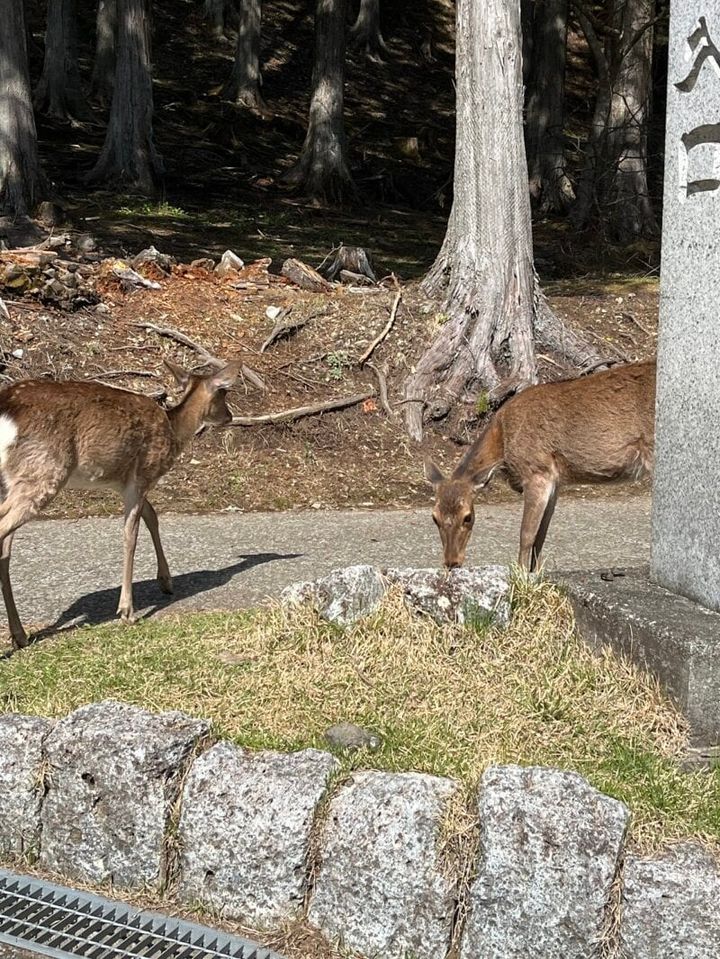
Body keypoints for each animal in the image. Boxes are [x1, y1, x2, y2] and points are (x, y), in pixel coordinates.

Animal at [0, 358, 240, 649]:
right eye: (223, 393)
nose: (229, 416)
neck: (173, 431)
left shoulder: (124, 483)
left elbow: (152, 515)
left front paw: (166, 581)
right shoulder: (142, 474)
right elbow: (131, 535)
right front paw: (127, 610)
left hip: (15, 481)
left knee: (5, 548)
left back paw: (19, 634)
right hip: (43, 472)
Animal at [426, 360, 656, 571]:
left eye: (468, 517)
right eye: (434, 517)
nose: (452, 563)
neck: (503, 441)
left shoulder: (537, 471)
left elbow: (526, 534)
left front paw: (520, 576)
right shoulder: (554, 481)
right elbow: (541, 535)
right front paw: (535, 574)